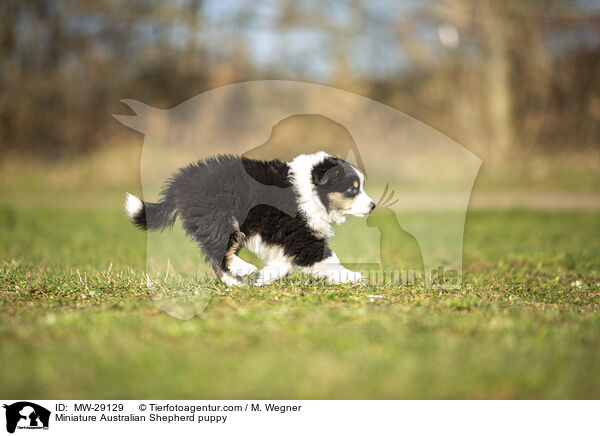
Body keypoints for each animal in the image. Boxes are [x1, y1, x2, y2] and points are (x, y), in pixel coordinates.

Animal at [126, 152, 376, 286]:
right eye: (352, 189)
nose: (373, 205)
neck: (312, 191)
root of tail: (179, 186)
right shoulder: (301, 234)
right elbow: (328, 257)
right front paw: (352, 276)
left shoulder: (286, 238)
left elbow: (285, 263)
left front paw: (264, 277)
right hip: (220, 219)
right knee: (220, 254)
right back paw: (244, 271)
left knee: (218, 259)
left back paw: (238, 282)